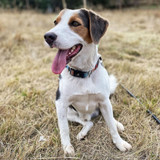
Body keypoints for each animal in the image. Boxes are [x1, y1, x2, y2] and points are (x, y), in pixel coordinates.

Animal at [43, 8, 131, 156]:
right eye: (55, 22)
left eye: (75, 23)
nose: (48, 36)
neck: (83, 73)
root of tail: (88, 115)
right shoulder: (60, 104)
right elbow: (64, 130)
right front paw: (67, 147)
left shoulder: (104, 101)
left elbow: (111, 128)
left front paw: (119, 143)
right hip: (70, 113)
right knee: (88, 123)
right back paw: (82, 133)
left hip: (105, 105)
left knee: (107, 119)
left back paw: (117, 124)